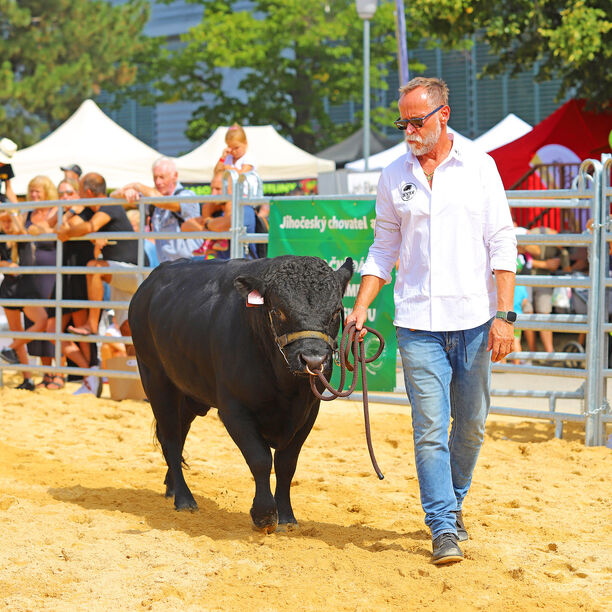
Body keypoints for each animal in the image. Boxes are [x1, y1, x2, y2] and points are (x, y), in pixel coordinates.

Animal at [129, 253, 354, 532]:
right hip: (157, 381)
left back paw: (171, 487)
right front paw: (264, 514)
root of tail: (149, 283)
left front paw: (286, 516)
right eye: (278, 310)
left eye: (336, 312)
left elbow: (286, 464)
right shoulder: (234, 410)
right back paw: (183, 498)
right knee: (171, 439)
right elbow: (260, 459)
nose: (313, 360)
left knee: (178, 437)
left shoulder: (309, 411)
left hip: (188, 394)